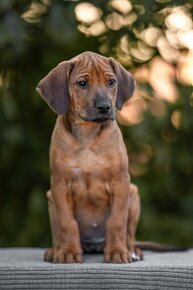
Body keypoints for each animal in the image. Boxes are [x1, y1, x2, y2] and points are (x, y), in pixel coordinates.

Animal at [36, 51, 142, 262]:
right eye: (82, 83)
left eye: (111, 82)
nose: (104, 107)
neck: (87, 134)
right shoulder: (59, 185)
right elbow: (67, 223)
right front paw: (68, 252)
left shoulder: (121, 183)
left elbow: (117, 221)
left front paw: (117, 252)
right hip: (51, 198)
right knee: (58, 232)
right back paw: (55, 250)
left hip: (133, 194)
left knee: (128, 234)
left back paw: (131, 251)